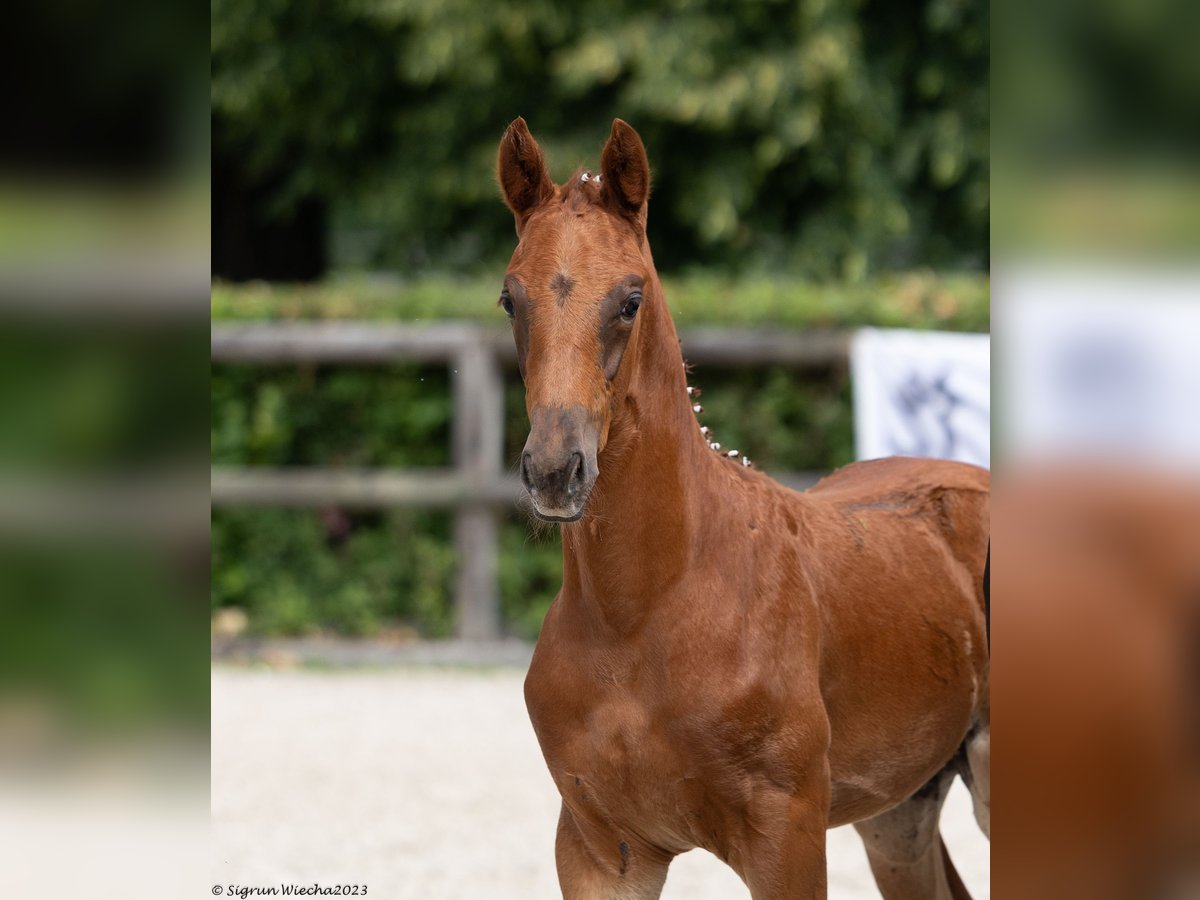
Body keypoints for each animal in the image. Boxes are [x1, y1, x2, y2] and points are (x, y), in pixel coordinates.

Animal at [492, 120, 988, 900]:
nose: (554, 470)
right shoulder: (600, 850)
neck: (641, 613)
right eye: (511, 300)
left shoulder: (787, 839)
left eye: (630, 299)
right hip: (899, 809)